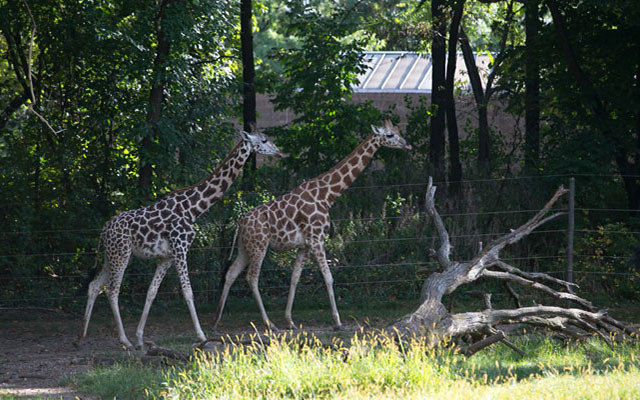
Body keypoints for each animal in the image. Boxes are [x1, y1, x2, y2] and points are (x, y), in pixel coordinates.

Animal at [81, 128, 286, 346]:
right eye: (263, 140)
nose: (279, 152)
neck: (193, 208)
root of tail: (104, 230)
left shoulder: (166, 257)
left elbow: (151, 292)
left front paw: (140, 337)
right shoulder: (180, 249)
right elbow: (188, 292)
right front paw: (201, 335)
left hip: (110, 256)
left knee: (94, 285)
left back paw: (81, 336)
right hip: (122, 255)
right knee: (112, 290)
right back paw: (124, 340)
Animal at [212, 119, 412, 332]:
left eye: (397, 131)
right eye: (390, 135)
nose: (407, 144)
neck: (327, 196)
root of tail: (240, 223)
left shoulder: (304, 245)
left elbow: (295, 279)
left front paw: (290, 320)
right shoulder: (317, 239)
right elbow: (329, 277)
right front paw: (337, 321)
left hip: (245, 247)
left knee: (232, 273)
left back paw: (216, 321)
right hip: (259, 246)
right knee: (251, 278)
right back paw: (269, 323)